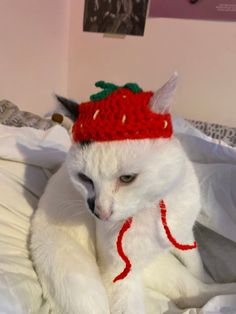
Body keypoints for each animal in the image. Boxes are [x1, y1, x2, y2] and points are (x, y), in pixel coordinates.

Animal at [30, 74, 236, 314]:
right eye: (85, 178)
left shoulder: (185, 236)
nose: (100, 212)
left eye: (127, 178)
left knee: (198, 289)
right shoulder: (119, 275)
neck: (152, 211)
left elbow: (197, 266)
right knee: (193, 294)